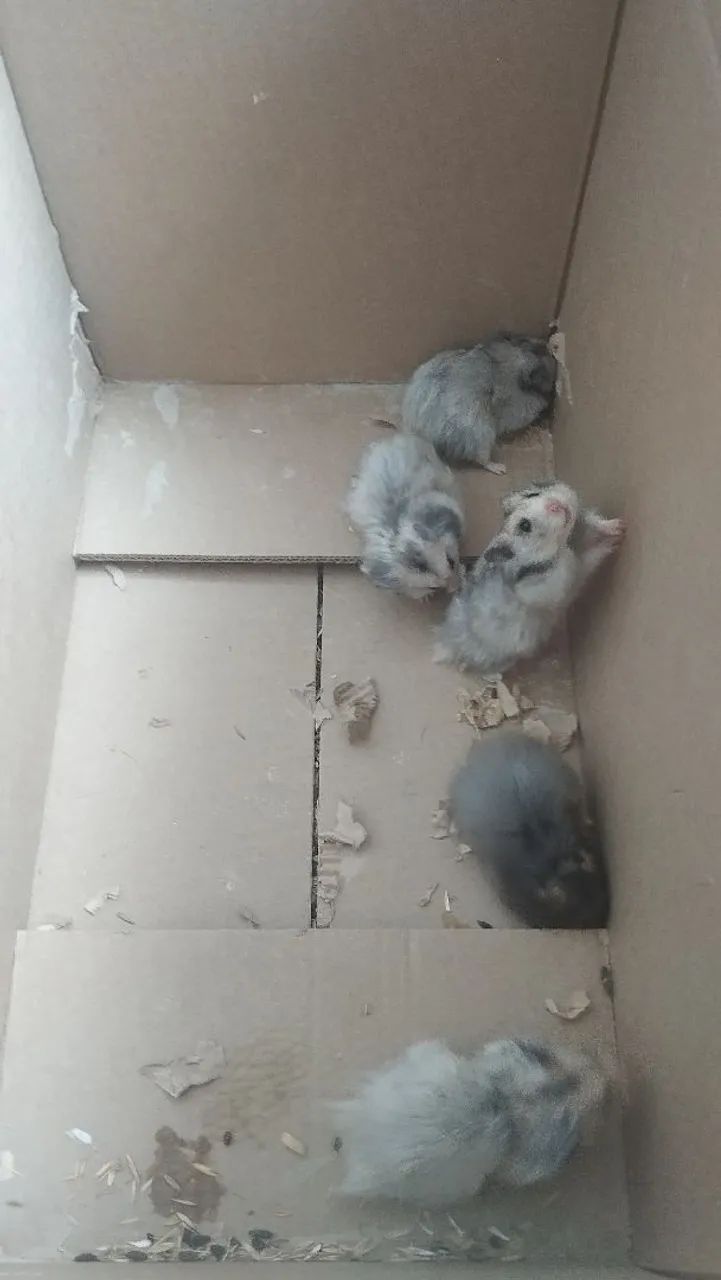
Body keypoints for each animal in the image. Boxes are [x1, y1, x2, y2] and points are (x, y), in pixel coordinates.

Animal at [401, 333, 557, 473]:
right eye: (539, 354)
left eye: (525, 340)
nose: (548, 346)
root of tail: (424, 433)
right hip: (482, 435)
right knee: (481, 460)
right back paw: (500, 468)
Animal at [435, 481, 625, 672]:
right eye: (525, 525)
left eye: (533, 494)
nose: (556, 505)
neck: (567, 541)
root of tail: (447, 642)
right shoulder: (552, 583)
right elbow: (578, 563)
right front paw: (608, 543)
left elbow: (595, 522)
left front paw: (619, 527)